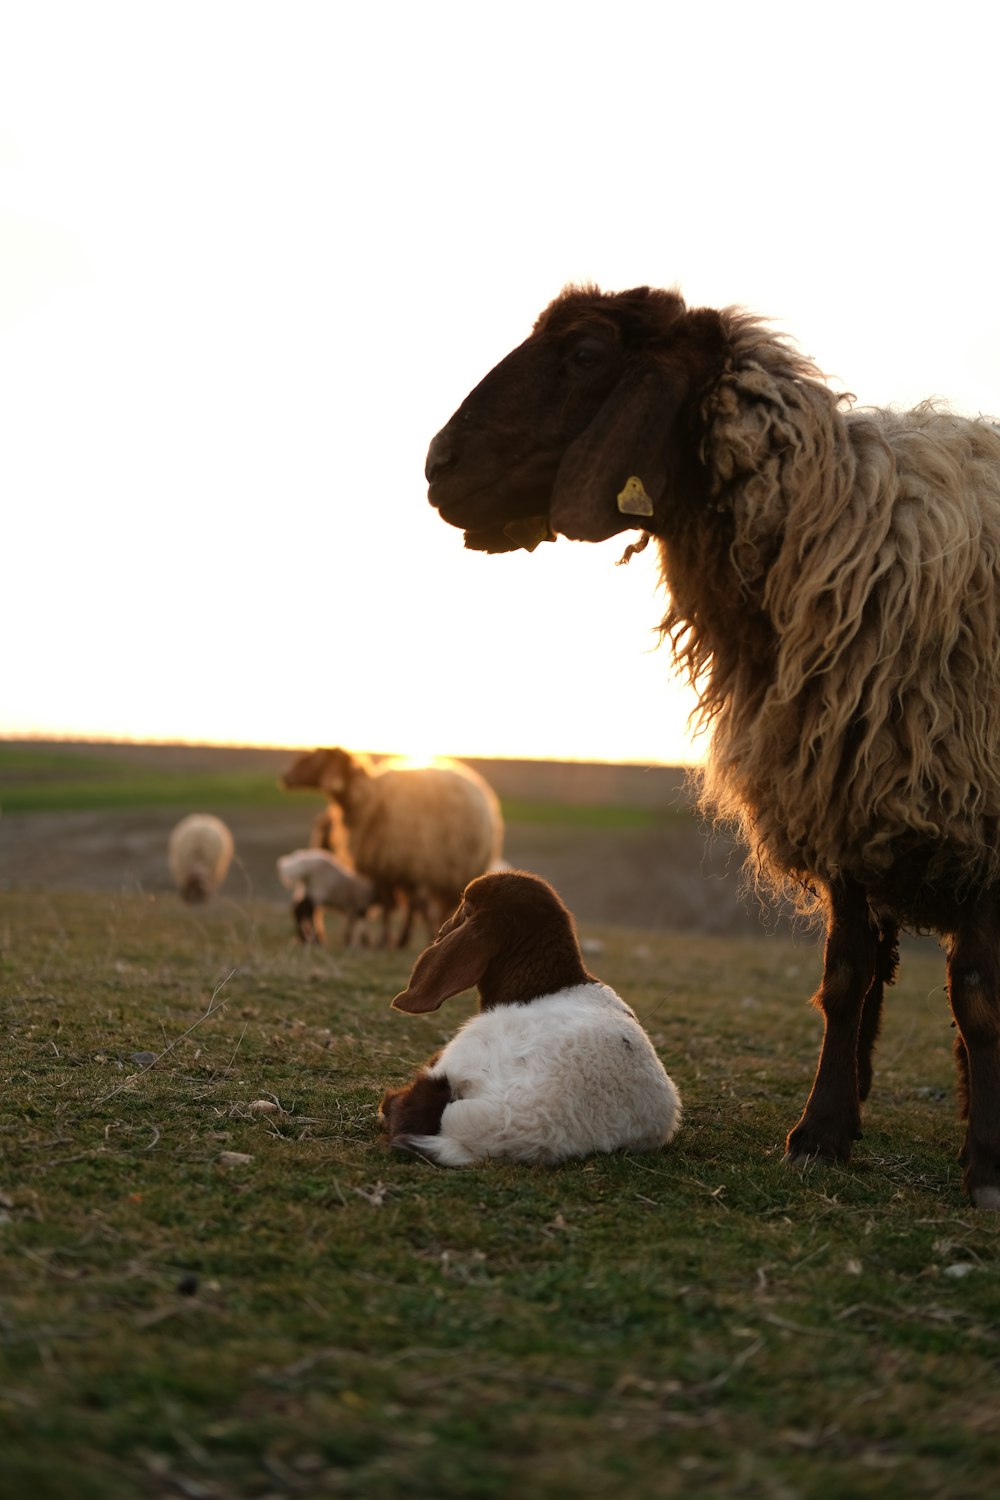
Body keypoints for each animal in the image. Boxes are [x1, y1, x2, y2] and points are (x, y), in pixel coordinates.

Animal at [425, 282, 1000, 1206]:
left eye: (586, 354)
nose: (437, 467)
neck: (843, 535)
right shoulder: (836, 787)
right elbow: (847, 977)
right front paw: (822, 1133)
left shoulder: (974, 806)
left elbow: (977, 997)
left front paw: (986, 1167)